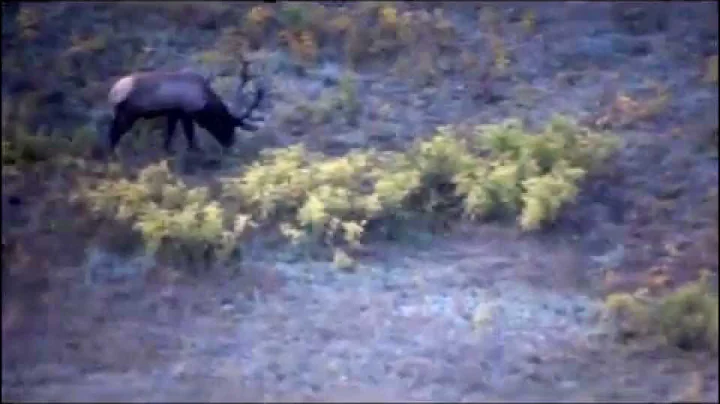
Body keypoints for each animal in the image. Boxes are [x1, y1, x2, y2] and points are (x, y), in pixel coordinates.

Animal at [102, 61, 265, 156]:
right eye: (225, 124)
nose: (230, 142)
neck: (204, 101)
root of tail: (111, 93)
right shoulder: (185, 113)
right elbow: (189, 134)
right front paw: (195, 149)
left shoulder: (174, 113)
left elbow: (171, 132)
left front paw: (168, 149)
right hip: (128, 114)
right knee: (114, 132)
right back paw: (112, 152)